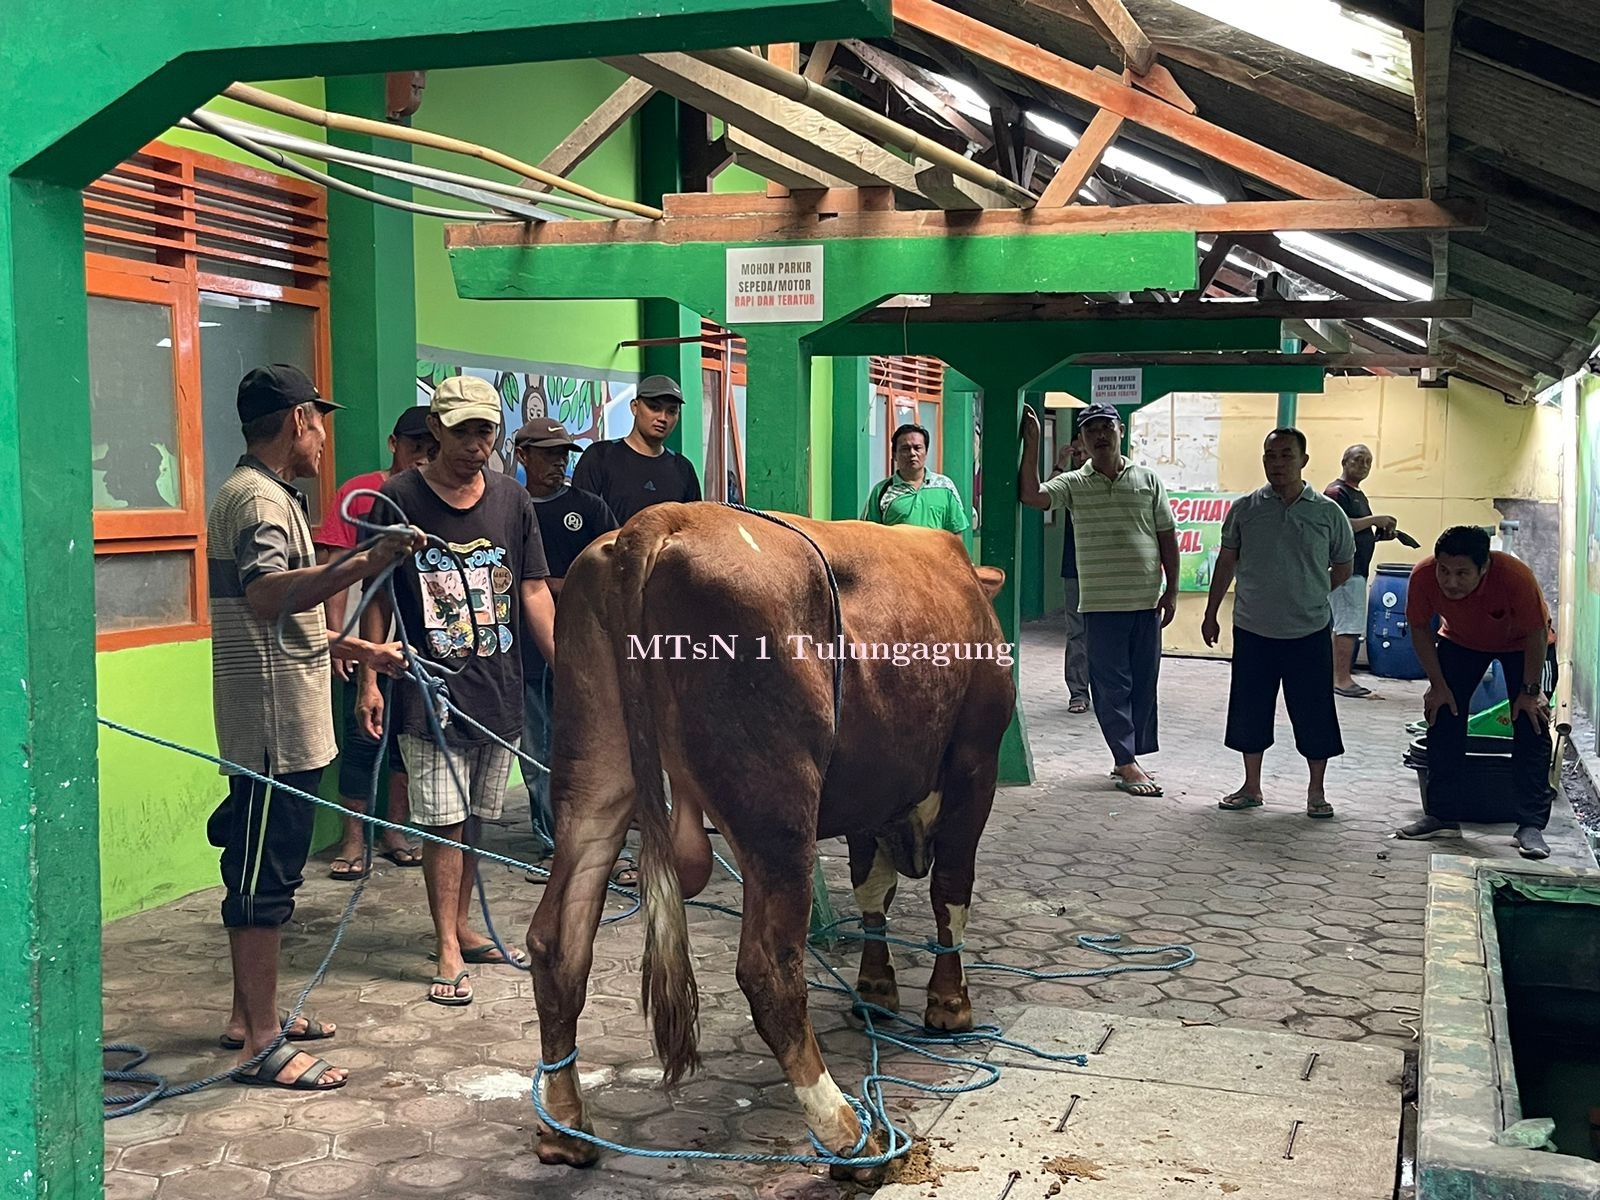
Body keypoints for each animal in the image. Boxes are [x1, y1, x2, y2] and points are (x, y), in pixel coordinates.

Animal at [524, 502, 1011, 1177]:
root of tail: (660, 520)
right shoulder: (974, 765)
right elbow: (951, 890)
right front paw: (948, 1002)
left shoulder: (871, 791)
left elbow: (872, 889)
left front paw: (875, 988)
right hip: (777, 804)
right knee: (769, 971)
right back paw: (851, 1137)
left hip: (595, 774)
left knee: (558, 941)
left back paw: (565, 1128)